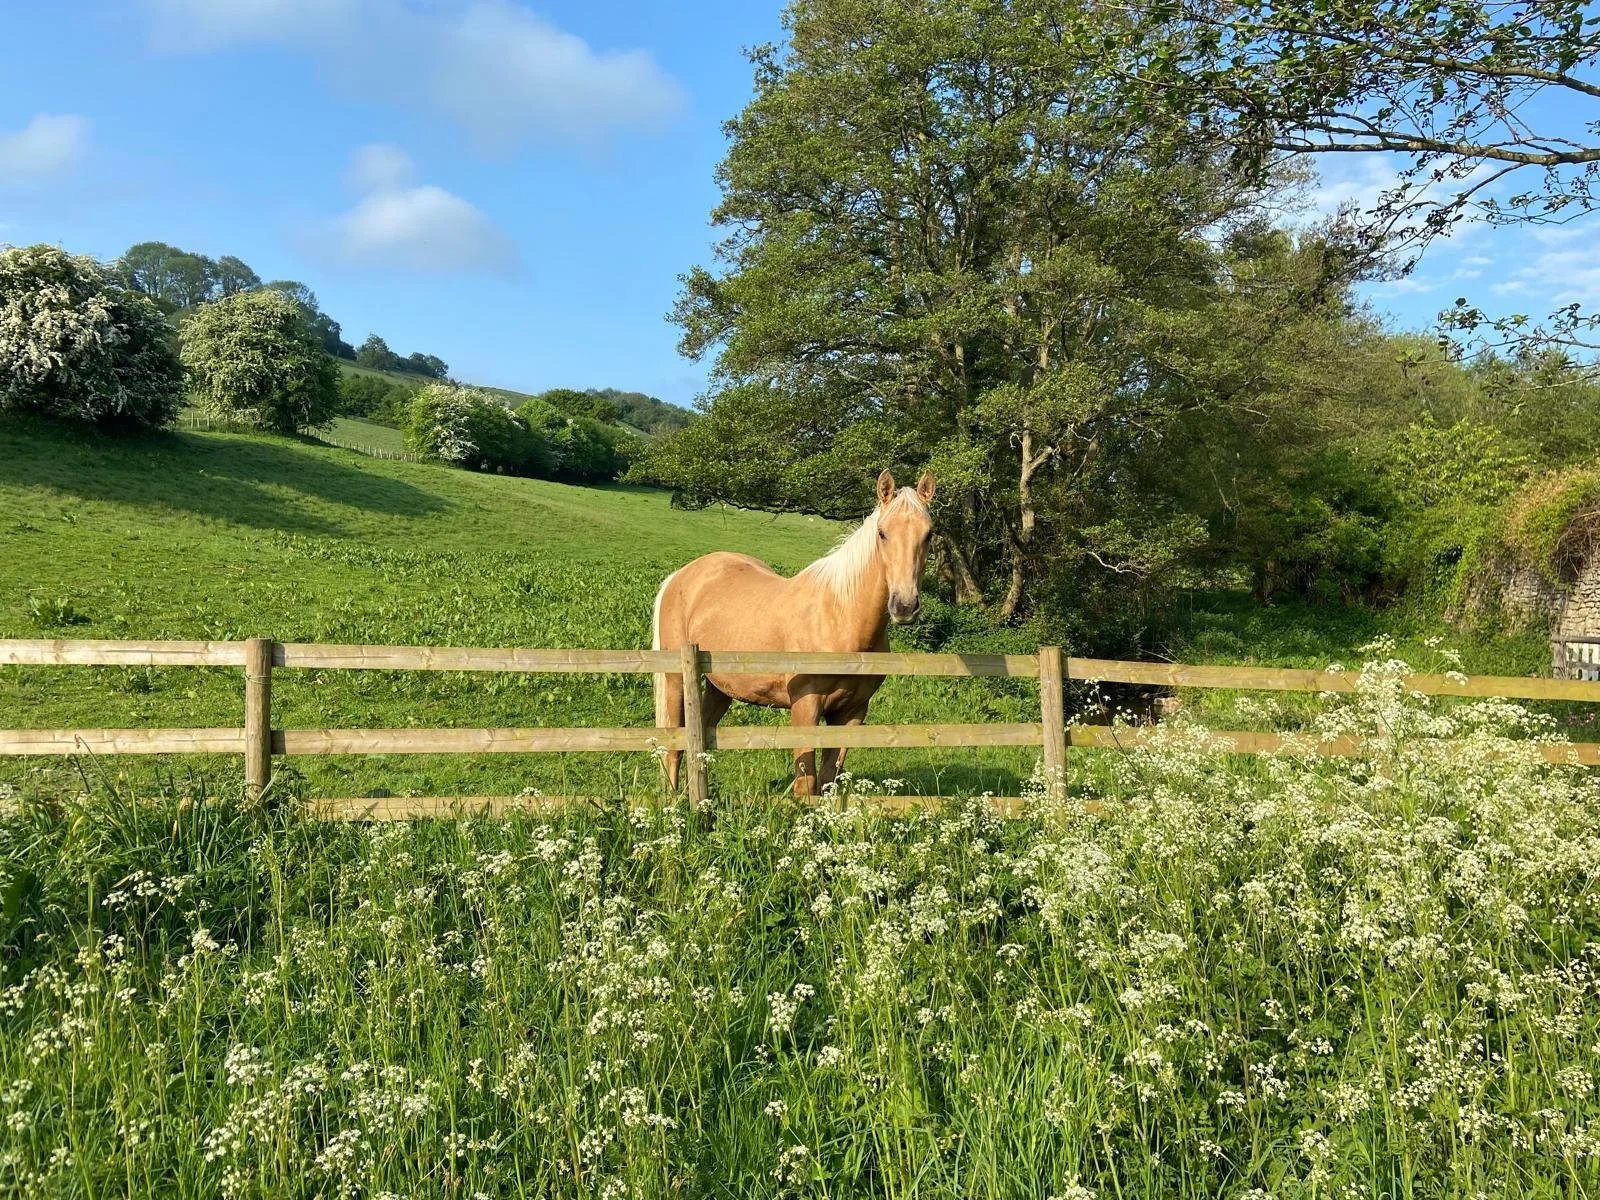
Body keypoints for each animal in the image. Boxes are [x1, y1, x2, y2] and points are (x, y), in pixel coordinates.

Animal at [652, 469, 936, 797]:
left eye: (929, 534)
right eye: (882, 533)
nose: (905, 605)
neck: (839, 617)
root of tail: (681, 576)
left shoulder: (852, 713)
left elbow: (828, 778)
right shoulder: (805, 708)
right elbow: (806, 783)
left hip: (719, 687)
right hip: (676, 680)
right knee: (674, 746)